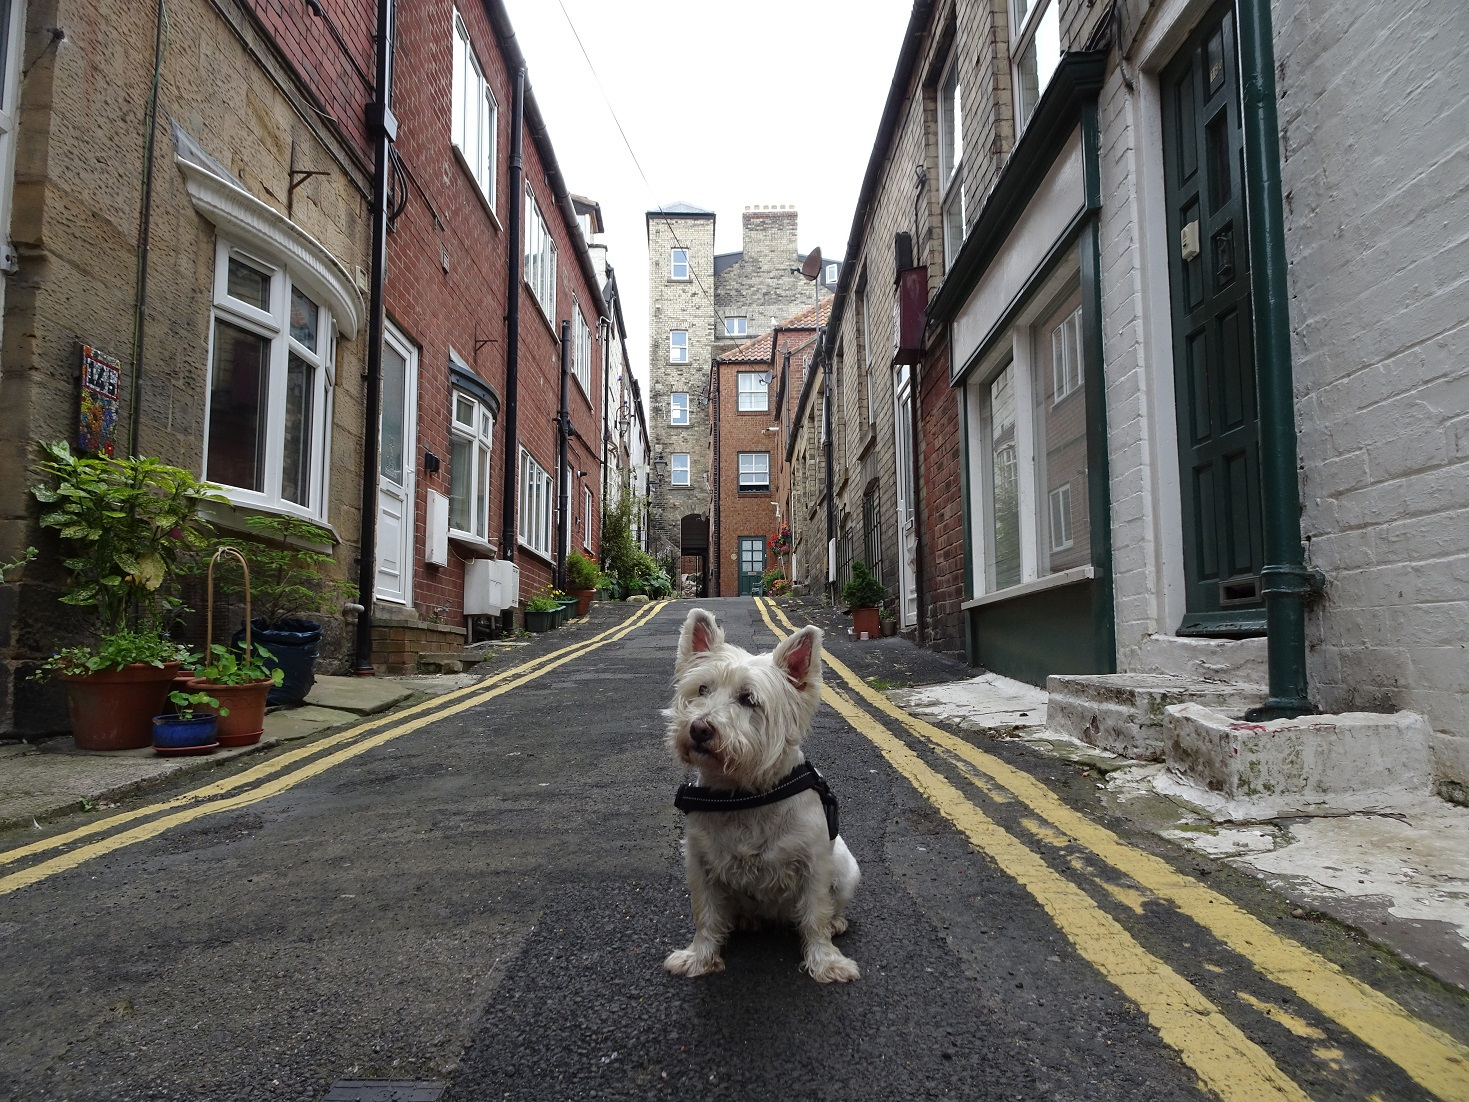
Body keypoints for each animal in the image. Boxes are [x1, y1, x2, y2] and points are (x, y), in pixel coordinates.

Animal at [666, 608, 857, 987]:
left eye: (749, 700)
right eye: (702, 689)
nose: (699, 728)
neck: (743, 795)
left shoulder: (814, 863)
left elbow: (815, 914)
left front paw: (827, 962)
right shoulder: (700, 862)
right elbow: (705, 914)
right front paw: (699, 958)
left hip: (847, 869)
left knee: (833, 905)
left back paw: (837, 922)